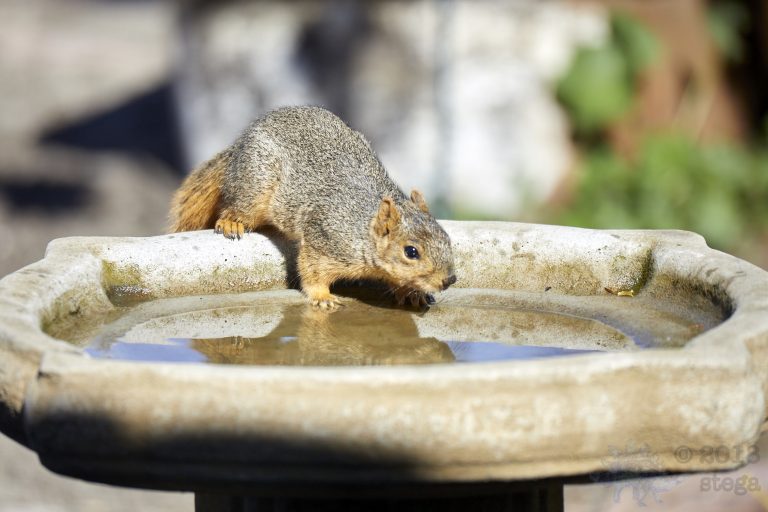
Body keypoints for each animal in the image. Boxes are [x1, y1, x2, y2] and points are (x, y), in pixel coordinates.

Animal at [169, 106, 456, 309]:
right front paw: (322, 297)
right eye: (411, 252)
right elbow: (312, 270)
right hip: (255, 184)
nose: (449, 280)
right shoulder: (324, 239)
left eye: (447, 239)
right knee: (237, 205)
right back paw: (232, 221)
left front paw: (413, 294)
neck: (363, 227)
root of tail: (240, 146)